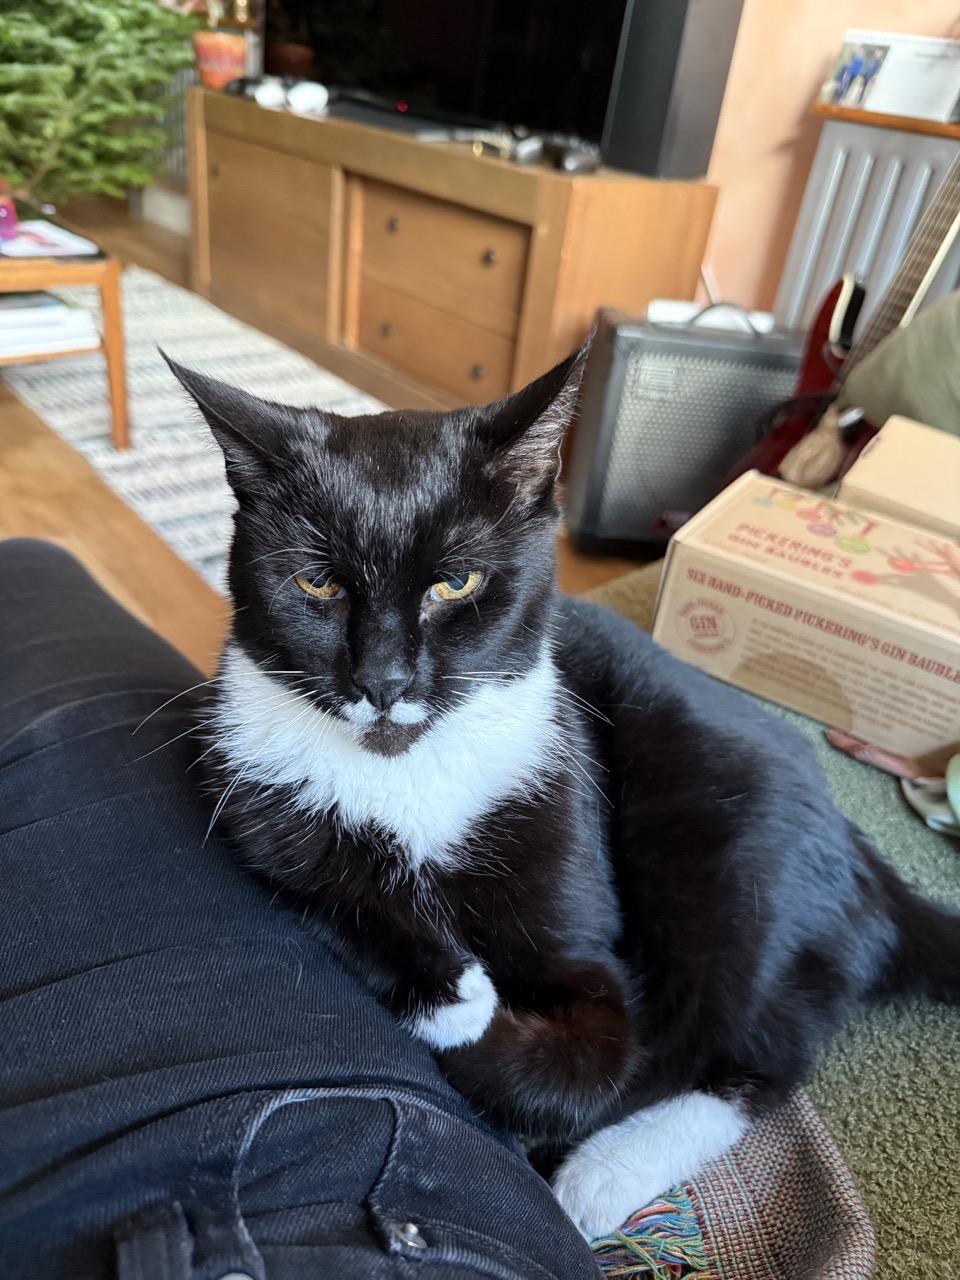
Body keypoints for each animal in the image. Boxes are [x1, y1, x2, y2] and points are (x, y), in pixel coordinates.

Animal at [168, 350, 960, 1239]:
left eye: (456, 584)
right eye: (317, 585)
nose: (384, 682)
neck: (405, 770)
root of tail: (860, 849)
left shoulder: (574, 869)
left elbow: (599, 1059)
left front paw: (474, 1028)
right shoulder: (248, 790)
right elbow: (317, 880)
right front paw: (443, 986)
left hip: (725, 845)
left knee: (747, 1052)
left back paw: (599, 1177)